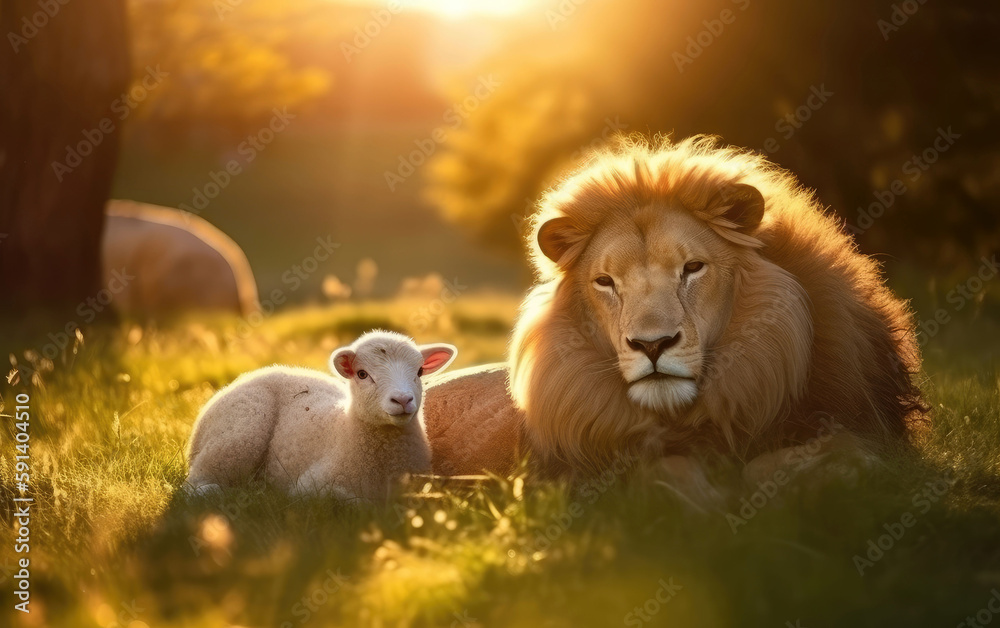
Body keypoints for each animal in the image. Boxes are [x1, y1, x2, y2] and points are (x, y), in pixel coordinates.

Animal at [185, 331, 457, 502]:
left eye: (419, 371)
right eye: (362, 374)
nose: (402, 400)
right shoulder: (308, 488)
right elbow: (355, 503)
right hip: (239, 433)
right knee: (196, 485)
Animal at [423, 136, 926, 491]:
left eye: (692, 268)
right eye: (605, 282)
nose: (653, 345)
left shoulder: (866, 429)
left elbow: (819, 459)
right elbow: (666, 472)